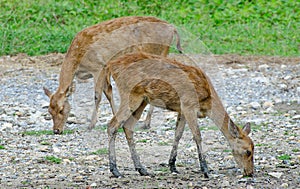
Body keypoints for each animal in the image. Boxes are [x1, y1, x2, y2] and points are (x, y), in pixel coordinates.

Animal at [42, 16, 183, 134]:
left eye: (61, 109)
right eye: (49, 111)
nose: (56, 130)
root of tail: (173, 28)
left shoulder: (98, 67)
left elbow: (97, 95)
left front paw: (91, 125)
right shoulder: (105, 69)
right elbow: (108, 92)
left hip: (158, 52)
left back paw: (146, 123)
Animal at [100, 52, 253, 179]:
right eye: (248, 151)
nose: (250, 173)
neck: (207, 101)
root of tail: (111, 65)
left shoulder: (182, 110)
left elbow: (178, 134)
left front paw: (172, 166)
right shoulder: (188, 105)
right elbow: (197, 135)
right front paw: (205, 170)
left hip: (142, 100)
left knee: (128, 126)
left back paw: (141, 169)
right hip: (130, 95)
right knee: (112, 125)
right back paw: (115, 170)